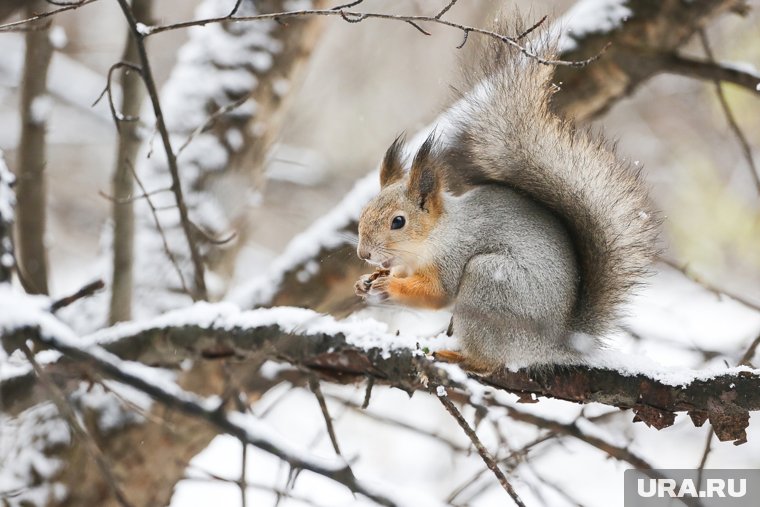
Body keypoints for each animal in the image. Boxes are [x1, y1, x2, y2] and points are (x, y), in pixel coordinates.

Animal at [354, 21, 656, 374]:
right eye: (363, 214)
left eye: (398, 222)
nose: (363, 253)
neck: (436, 235)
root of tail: (548, 345)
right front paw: (368, 280)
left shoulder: (453, 257)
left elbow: (436, 293)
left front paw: (389, 286)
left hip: (490, 284)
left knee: (490, 361)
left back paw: (461, 357)